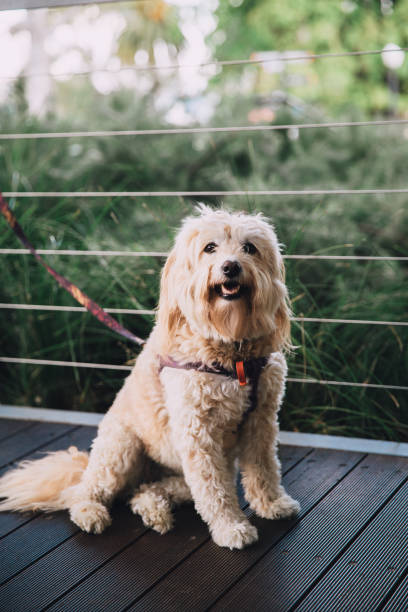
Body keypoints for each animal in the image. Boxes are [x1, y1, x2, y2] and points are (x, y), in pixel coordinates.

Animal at [0, 206, 300, 548]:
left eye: (249, 248)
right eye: (210, 248)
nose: (230, 267)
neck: (230, 351)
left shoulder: (261, 421)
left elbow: (264, 469)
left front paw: (272, 503)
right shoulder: (198, 433)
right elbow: (215, 490)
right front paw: (231, 527)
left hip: (180, 472)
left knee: (145, 490)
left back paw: (153, 510)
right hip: (121, 448)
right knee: (85, 492)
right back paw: (92, 513)